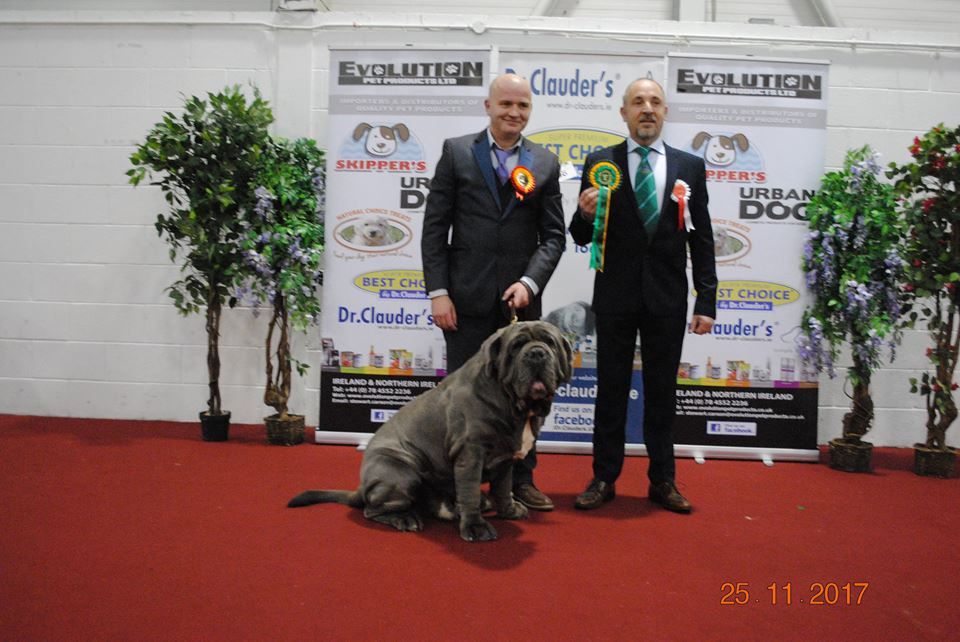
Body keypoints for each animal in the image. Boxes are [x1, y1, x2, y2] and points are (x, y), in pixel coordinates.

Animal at [284, 320, 568, 540]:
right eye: (516, 346)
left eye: (550, 343)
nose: (537, 353)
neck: (513, 402)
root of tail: (362, 486)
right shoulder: (470, 453)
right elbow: (469, 491)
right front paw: (475, 526)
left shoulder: (505, 458)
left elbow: (503, 487)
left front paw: (508, 510)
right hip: (402, 473)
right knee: (373, 509)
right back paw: (405, 518)